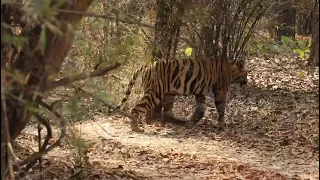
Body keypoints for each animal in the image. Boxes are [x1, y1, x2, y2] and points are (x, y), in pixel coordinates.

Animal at [116, 57, 249, 133]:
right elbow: (221, 107)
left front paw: (194, 119)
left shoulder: (200, 91)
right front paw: (222, 124)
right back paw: (136, 128)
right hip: (155, 93)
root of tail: (149, 64)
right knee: (137, 108)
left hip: (168, 94)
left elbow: (201, 108)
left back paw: (181, 122)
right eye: (246, 73)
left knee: (167, 112)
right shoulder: (220, 89)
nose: (247, 81)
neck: (231, 69)